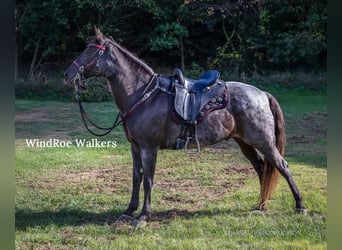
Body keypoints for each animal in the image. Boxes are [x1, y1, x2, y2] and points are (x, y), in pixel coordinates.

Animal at [65, 28, 308, 226]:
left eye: (90, 51)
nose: (67, 75)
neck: (143, 94)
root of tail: (262, 94)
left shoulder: (149, 148)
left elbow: (148, 180)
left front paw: (143, 216)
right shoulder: (135, 147)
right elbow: (136, 177)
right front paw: (128, 211)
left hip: (264, 141)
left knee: (281, 166)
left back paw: (299, 206)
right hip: (245, 142)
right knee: (261, 168)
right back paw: (261, 205)